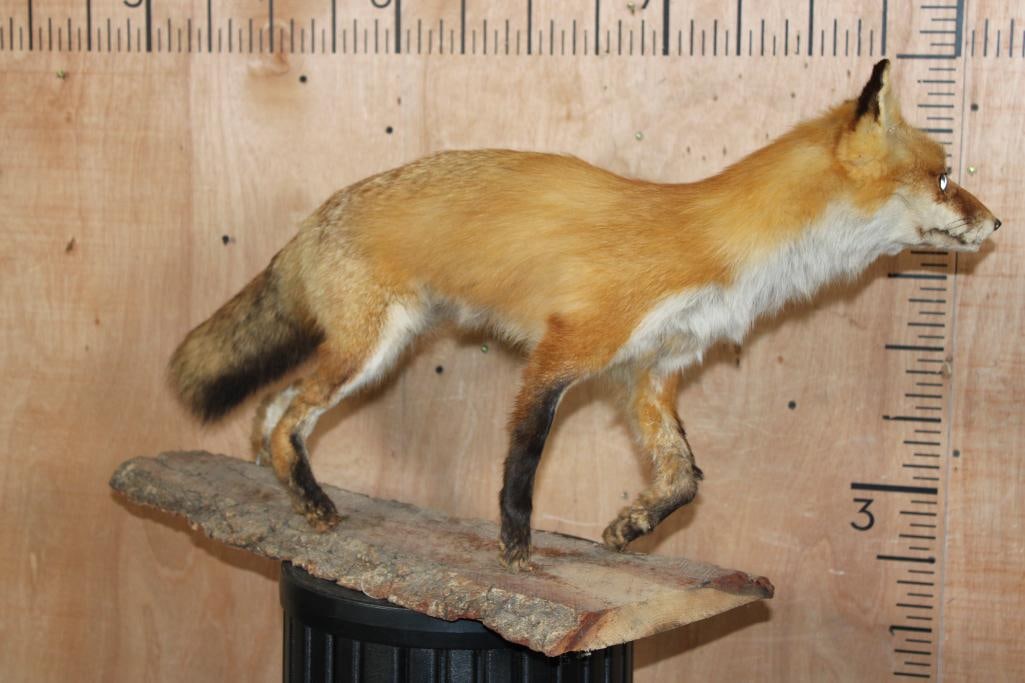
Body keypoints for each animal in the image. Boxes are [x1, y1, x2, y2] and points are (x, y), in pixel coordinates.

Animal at [169, 60, 1000, 570]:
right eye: (944, 178)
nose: (996, 223)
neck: (721, 245)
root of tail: (317, 214)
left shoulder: (651, 373)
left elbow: (685, 477)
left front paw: (633, 524)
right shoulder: (566, 349)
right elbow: (523, 461)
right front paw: (515, 548)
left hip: (365, 351)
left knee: (274, 407)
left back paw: (276, 483)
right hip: (371, 349)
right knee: (288, 416)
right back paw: (311, 499)